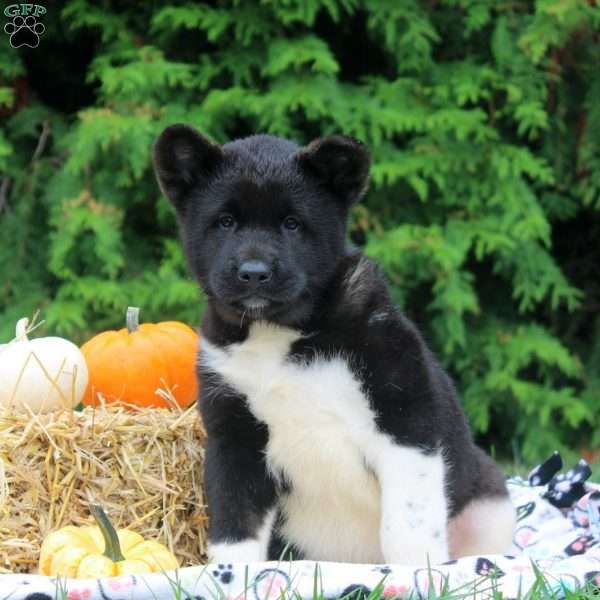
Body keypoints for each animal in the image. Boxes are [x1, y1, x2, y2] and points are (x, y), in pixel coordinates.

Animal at [152, 124, 512, 564]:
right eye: (225, 222)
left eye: (292, 223)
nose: (253, 273)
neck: (282, 335)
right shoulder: (235, 439)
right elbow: (236, 525)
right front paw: (229, 573)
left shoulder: (406, 423)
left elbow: (407, 524)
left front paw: (418, 572)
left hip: (490, 502)